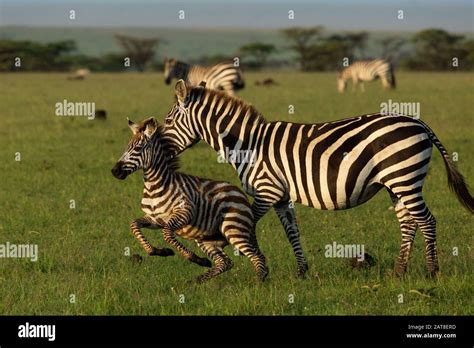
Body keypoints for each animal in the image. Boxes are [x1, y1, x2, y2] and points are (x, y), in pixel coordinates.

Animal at [110, 117, 266, 282]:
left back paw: (258, 283)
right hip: (208, 239)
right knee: (225, 262)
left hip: (234, 229)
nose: (114, 171)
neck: (154, 187)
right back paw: (195, 281)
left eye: (138, 148)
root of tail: (241, 194)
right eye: (127, 148)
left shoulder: (184, 212)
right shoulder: (155, 219)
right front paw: (160, 251)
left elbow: (167, 234)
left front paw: (193, 258)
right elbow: (134, 225)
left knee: (257, 256)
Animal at [161, 80, 472, 278]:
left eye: (167, 122)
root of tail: (418, 122)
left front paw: (236, 258)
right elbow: (292, 231)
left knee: (427, 221)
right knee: (408, 223)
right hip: (397, 183)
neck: (248, 143)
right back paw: (399, 272)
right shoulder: (281, 196)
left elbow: (246, 225)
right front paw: (301, 272)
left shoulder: (265, 191)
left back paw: (432, 271)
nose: (158, 149)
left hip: (405, 177)